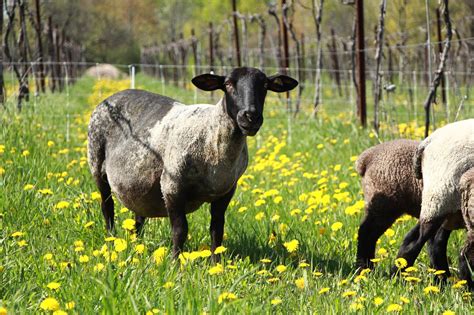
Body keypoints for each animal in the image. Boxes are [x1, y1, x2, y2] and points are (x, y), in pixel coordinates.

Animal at [87, 67, 298, 260]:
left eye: (265, 86)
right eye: (228, 84)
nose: (251, 116)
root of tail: (113, 95)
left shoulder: (226, 191)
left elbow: (217, 229)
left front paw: (216, 264)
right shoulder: (172, 186)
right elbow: (180, 230)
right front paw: (175, 263)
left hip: (139, 184)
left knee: (138, 215)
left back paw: (137, 245)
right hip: (96, 163)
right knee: (107, 208)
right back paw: (111, 241)